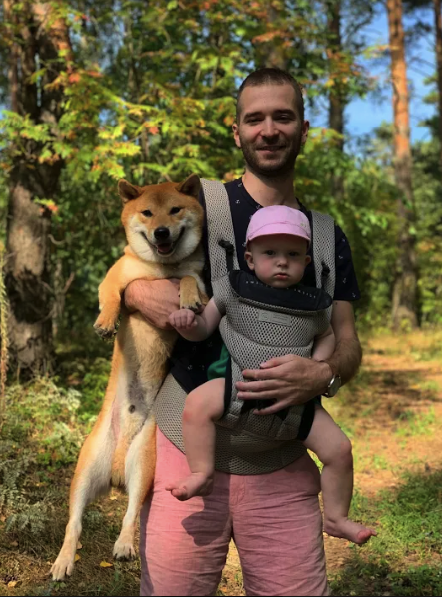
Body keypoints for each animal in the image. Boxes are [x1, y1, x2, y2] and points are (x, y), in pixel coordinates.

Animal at [51, 171, 206, 576]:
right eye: (147, 213)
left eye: (175, 210)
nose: (161, 232)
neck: (159, 270)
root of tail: (118, 467)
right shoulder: (117, 277)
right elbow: (110, 296)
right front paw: (106, 322)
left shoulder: (196, 279)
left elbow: (189, 282)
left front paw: (187, 300)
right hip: (84, 471)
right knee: (74, 523)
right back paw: (63, 560)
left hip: (144, 464)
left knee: (131, 513)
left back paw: (123, 545)